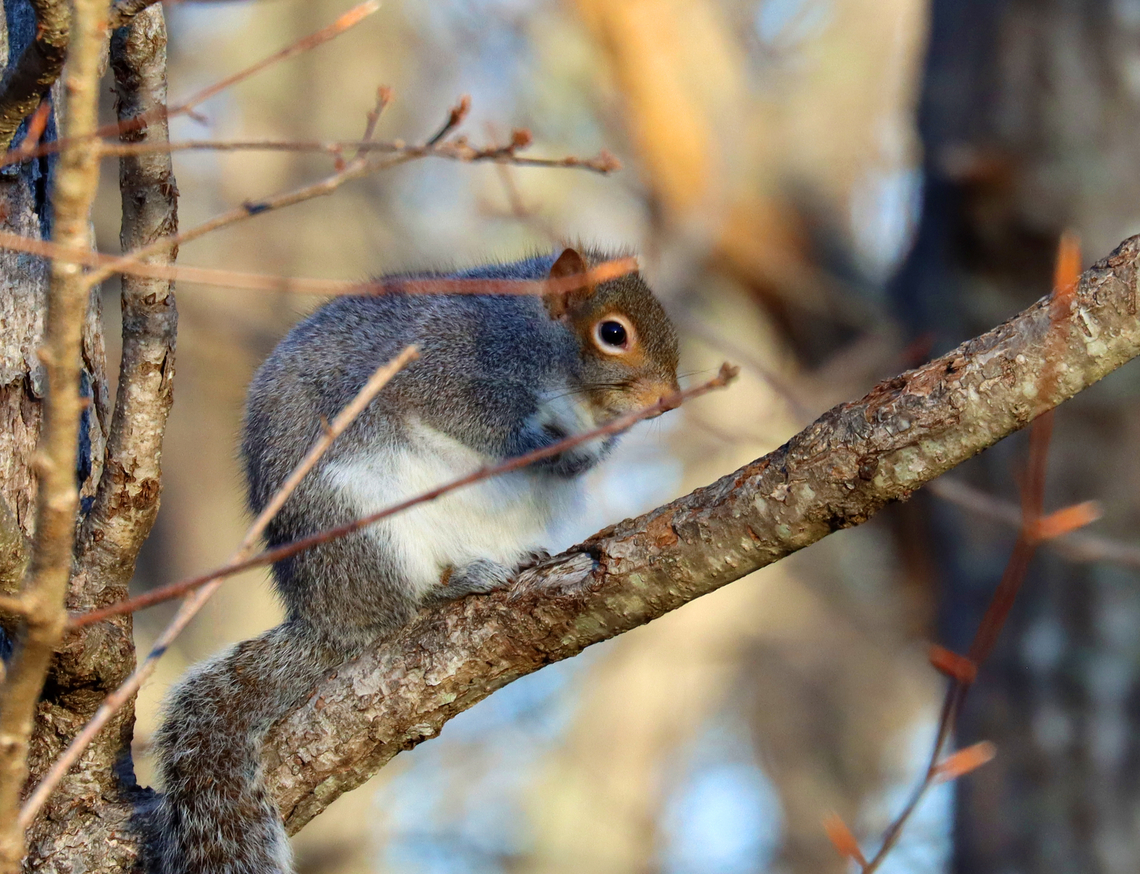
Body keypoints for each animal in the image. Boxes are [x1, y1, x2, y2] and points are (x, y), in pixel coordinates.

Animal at [143, 247, 680, 874]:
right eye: (613, 333)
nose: (668, 399)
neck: (535, 341)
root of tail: (330, 616)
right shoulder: (445, 362)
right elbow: (472, 422)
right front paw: (546, 447)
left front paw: (586, 453)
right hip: (363, 524)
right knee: (405, 607)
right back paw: (456, 584)